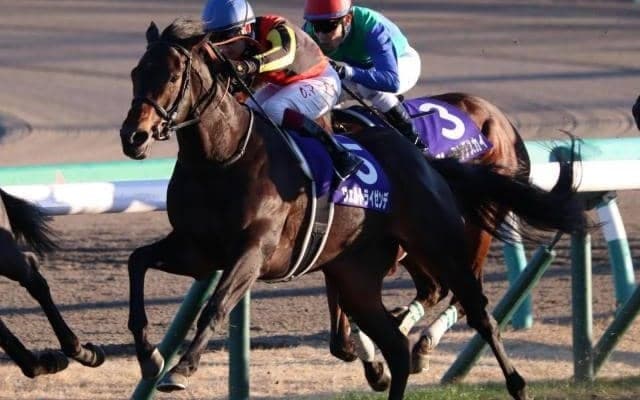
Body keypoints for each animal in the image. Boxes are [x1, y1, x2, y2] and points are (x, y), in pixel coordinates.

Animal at [326, 93, 532, 389]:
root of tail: (503, 122)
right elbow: (341, 337)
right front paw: (374, 363)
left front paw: (376, 361)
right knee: (433, 289)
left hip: (471, 229)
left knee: (461, 294)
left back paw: (422, 341)